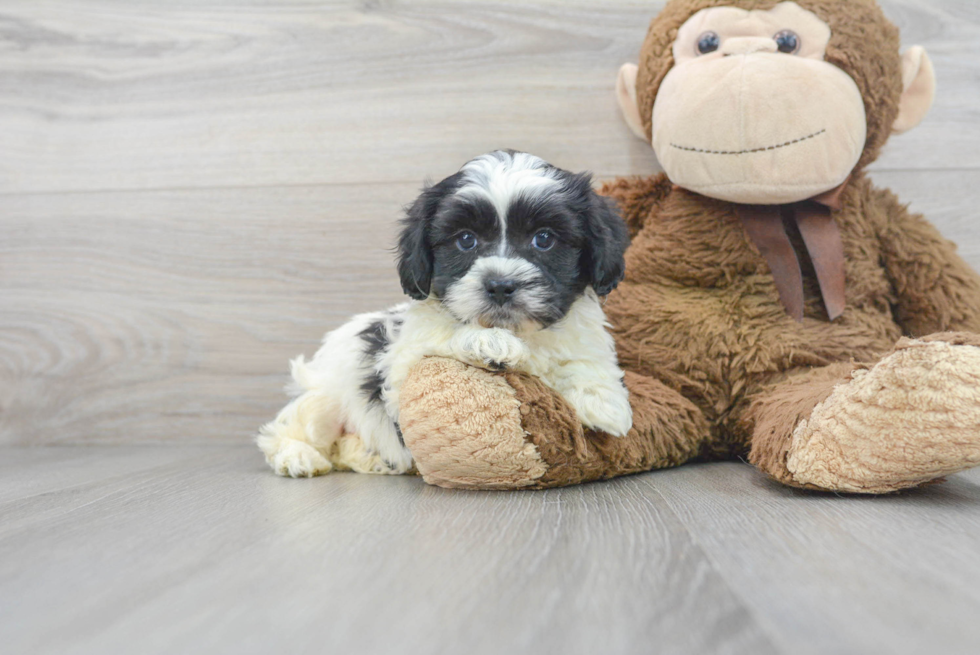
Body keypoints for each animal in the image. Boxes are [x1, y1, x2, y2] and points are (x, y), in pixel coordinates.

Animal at [256, 151, 632, 480]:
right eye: (465, 239)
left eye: (544, 239)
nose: (500, 285)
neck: (520, 332)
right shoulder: (402, 369)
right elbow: (446, 334)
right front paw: (489, 342)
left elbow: (586, 359)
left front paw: (603, 400)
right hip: (327, 394)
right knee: (288, 428)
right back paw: (298, 456)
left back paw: (371, 459)